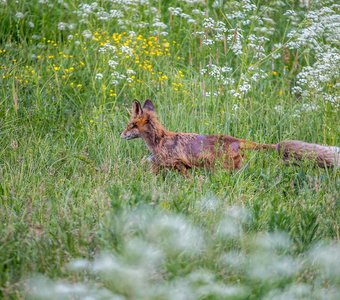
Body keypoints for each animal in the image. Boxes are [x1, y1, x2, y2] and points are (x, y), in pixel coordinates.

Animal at [122, 99, 340, 173]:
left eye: (130, 125)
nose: (121, 134)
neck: (160, 140)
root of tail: (237, 140)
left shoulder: (177, 164)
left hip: (224, 167)